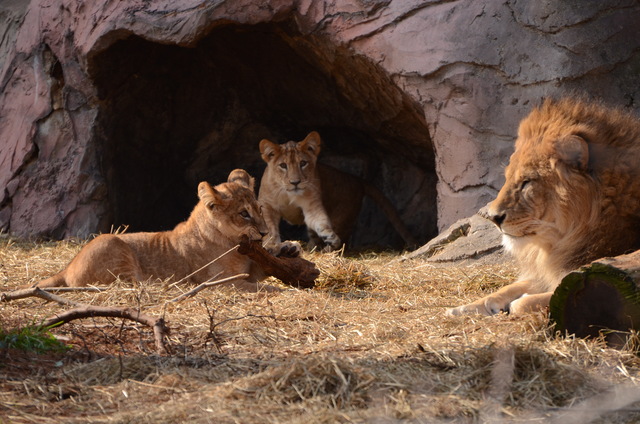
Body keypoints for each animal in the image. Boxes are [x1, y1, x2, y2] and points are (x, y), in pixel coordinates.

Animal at [35, 169, 278, 292]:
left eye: (259, 209)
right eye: (244, 214)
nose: (265, 233)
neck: (233, 243)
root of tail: (65, 269)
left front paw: (284, 250)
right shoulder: (223, 282)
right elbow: (262, 288)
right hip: (112, 244)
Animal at [258, 131, 418, 253]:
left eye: (303, 163)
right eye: (283, 165)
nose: (295, 182)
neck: (288, 193)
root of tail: (356, 179)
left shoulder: (312, 206)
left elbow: (320, 222)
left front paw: (331, 237)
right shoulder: (266, 205)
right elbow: (270, 228)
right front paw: (271, 244)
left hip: (344, 218)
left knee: (342, 240)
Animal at [444, 98, 640, 314]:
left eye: (527, 182)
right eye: (507, 177)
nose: (493, 217)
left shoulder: (579, 277)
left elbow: (527, 301)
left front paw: (516, 303)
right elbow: (507, 288)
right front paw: (461, 308)